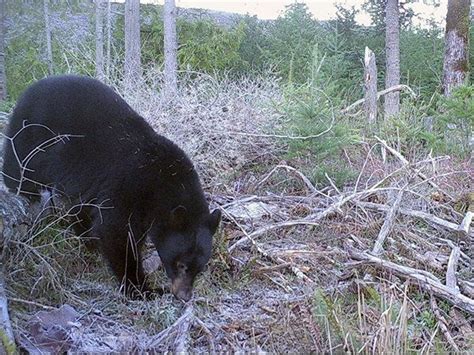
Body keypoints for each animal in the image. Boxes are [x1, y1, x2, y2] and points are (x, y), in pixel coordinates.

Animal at [1, 76, 221, 302]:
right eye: (181, 264)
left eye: (199, 268)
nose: (185, 295)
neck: (161, 179)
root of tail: (28, 90)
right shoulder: (127, 185)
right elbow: (116, 232)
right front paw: (141, 289)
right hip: (30, 135)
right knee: (17, 168)